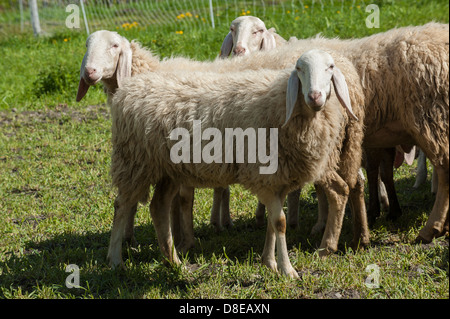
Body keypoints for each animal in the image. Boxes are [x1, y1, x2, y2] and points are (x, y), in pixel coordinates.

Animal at [106, 48, 366, 278]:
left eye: (330, 67)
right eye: (299, 69)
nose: (315, 96)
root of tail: (126, 90)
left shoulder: (277, 180)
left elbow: (273, 222)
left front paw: (269, 263)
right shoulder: (264, 175)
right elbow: (280, 222)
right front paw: (287, 270)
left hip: (167, 169)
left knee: (158, 207)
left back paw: (174, 262)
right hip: (135, 161)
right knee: (122, 205)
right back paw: (116, 260)